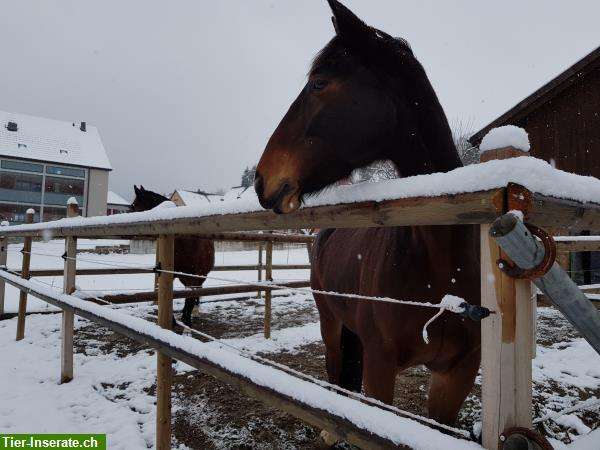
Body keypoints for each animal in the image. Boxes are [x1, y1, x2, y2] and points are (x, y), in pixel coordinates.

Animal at [131, 185, 216, 326]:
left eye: (133, 206)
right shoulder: (170, 274)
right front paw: (173, 320)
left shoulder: (193, 277)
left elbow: (189, 300)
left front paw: (187, 323)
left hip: (200, 277)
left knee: (195, 295)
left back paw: (193, 313)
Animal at [253, 0, 478, 428]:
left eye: (319, 83)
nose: (261, 179)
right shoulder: (380, 367)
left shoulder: (456, 376)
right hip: (330, 323)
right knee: (335, 371)